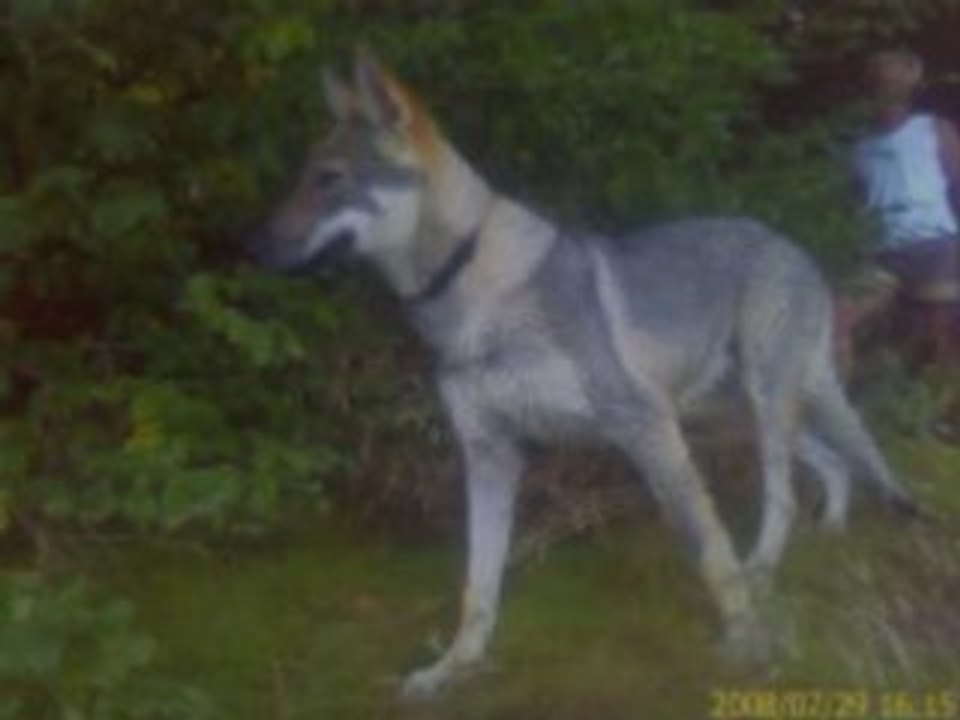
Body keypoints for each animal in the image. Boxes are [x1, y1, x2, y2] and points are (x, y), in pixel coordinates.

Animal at [249, 50, 915, 699]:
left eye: (330, 179)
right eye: (304, 177)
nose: (249, 249)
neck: (476, 294)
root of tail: (788, 244)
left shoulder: (646, 429)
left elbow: (708, 550)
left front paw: (746, 647)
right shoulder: (489, 455)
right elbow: (477, 590)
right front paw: (452, 671)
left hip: (759, 405)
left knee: (785, 495)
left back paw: (767, 572)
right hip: (736, 416)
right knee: (830, 462)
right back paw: (826, 535)